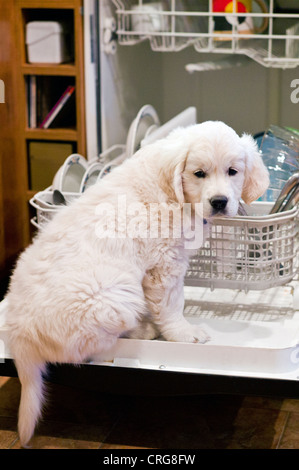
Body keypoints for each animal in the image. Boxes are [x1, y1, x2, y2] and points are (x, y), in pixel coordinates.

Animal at [4, 121, 270, 444]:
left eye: (233, 171)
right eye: (199, 174)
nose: (219, 202)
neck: (173, 192)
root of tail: (18, 335)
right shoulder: (165, 264)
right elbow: (172, 305)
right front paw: (184, 333)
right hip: (116, 295)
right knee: (88, 348)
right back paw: (143, 329)